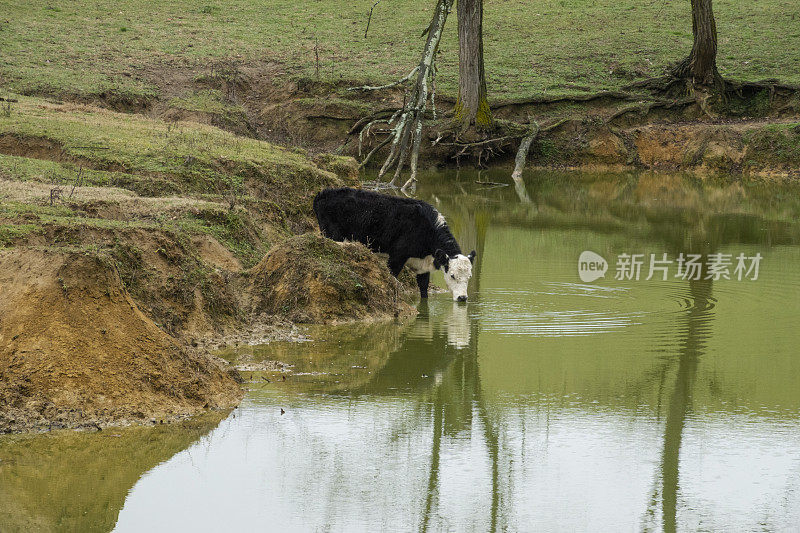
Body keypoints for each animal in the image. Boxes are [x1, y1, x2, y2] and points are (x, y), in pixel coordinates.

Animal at [312, 188, 476, 302]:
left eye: (469, 276)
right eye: (452, 275)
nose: (462, 298)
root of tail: (323, 193)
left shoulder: (423, 266)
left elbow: (423, 288)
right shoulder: (397, 256)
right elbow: (392, 279)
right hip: (332, 235)